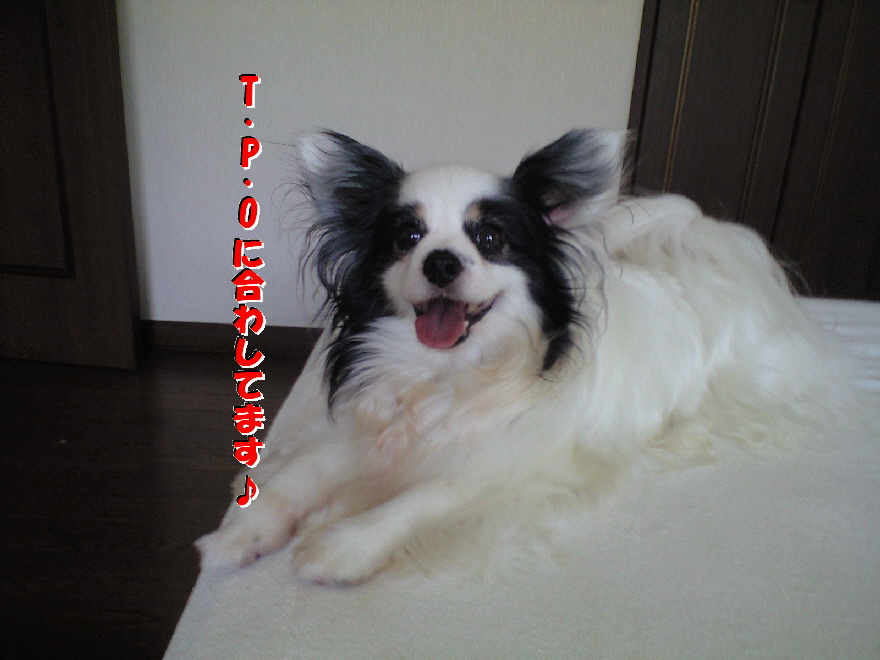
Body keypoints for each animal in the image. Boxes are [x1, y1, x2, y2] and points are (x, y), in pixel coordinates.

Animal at [197, 129, 846, 585]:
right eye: (407, 239)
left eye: (490, 240)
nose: (441, 261)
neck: (448, 373)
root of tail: (712, 254)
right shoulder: (370, 432)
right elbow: (298, 475)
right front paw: (242, 531)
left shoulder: (513, 469)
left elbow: (420, 499)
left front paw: (341, 544)